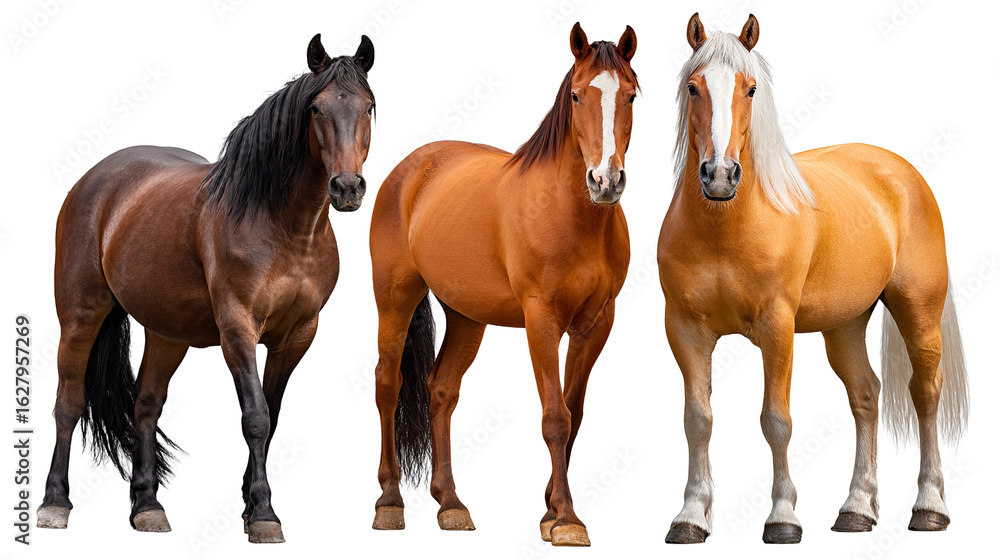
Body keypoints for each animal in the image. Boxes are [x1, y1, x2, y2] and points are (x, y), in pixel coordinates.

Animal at [36, 34, 376, 544]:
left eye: (369, 106)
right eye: (315, 108)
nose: (347, 187)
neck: (282, 225)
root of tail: (95, 179)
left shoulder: (298, 335)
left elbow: (272, 416)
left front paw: (250, 505)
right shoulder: (237, 329)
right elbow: (255, 417)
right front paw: (264, 514)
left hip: (166, 334)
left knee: (145, 406)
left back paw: (148, 508)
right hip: (80, 316)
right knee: (68, 403)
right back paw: (54, 504)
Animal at [366, 23, 637, 547]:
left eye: (631, 95)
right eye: (577, 95)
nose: (605, 180)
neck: (571, 216)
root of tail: (410, 169)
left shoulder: (596, 323)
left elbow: (573, 413)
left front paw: (550, 511)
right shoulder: (541, 320)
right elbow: (555, 417)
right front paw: (567, 519)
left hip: (466, 317)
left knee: (440, 390)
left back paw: (451, 504)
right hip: (394, 299)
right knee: (388, 384)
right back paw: (389, 502)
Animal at [658, 14, 968, 544]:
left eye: (751, 88)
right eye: (694, 88)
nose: (719, 175)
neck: (726, 228)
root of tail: (903, 173)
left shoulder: (777, 328)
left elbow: (776, 420)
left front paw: (783, 518)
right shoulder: (685, 330)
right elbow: (697, 420)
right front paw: (691, 516)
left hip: (918, 311)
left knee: (926, 394)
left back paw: (929, 507)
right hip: (844, 325)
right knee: (866, 395)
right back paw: (857, 509)